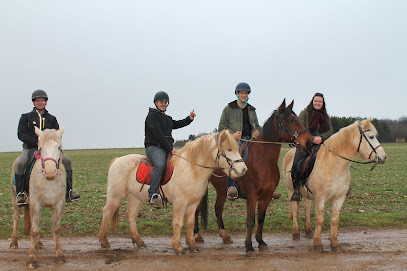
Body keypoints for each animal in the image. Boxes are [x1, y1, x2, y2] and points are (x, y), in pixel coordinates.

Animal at [9, 127, 66, 270]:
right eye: (40, 148)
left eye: (58, 147)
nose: (50, 172)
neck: (49, 181)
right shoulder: (36, 204)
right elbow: (34, 230)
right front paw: (31, 259)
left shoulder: (58, 205)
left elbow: (56, 229)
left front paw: (59, 255)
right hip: (16, 200)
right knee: (16, 218)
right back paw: (14, 242)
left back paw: (38, 243)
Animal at [98, 131, 249, 256]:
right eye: (229, 149)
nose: (243, 169)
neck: (191, 168)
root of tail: (116, 160)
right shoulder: (180, 203)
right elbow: (178, 223)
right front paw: (178, 247)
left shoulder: (193, 203)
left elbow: (190, 223)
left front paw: (192, 245)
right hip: (115, 196)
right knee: (107, 212)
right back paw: (104, 241)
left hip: (135, 198)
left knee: (131, 216)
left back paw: (138, 241)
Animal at [194, 99, 312, 255]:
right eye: (289, 120)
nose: (310, 142)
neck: (263, 160)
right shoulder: (252, 196)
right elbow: (251, 220)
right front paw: (249, 245)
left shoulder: (266, 196)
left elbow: (260, 219)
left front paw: (261, 242)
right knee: (196, 209)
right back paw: (196, 235)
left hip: (221, 190)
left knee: (218, 209)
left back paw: (225, 236)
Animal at [286, 119, 388, 253]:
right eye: (371, 137)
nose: (383, 157)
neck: (334, 166)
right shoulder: (320, 198)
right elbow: (320, 219)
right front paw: (318, 245)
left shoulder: (339, 198)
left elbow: (334, 220)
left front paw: (334, 244)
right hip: (292, 191)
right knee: (295, 211)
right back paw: (295, 233)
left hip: (308, 196)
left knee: (307, 209)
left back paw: (308, 231)